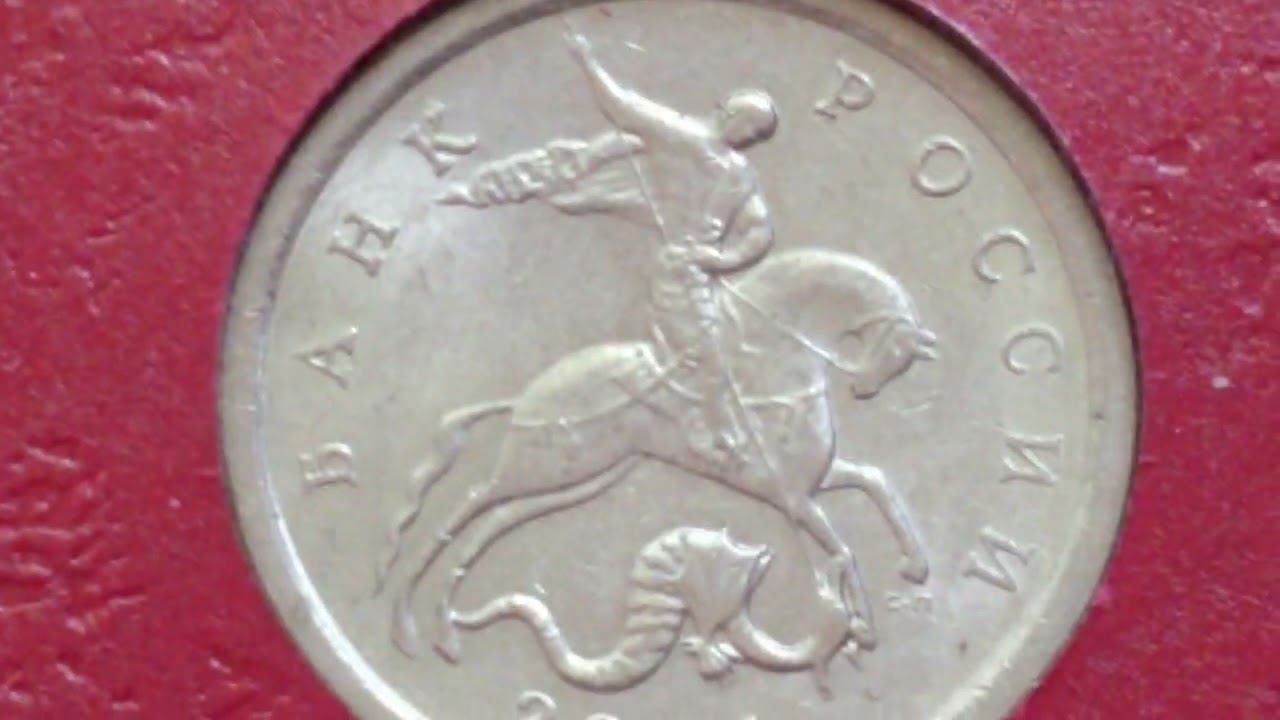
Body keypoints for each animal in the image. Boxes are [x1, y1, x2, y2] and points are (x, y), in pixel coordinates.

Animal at [379, 248, 938, 663]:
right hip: (535, 467)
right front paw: (862, 626)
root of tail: (526, 396)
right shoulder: (794, 498)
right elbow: (842, 547)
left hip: (579, 478)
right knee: (465, 506)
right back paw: (406, 619)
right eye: (898, 349)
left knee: (489, 525)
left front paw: (911, 567)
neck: (771, 362)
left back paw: (443, 630)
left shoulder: (811, 482)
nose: (865, 390)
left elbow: (874, 482)